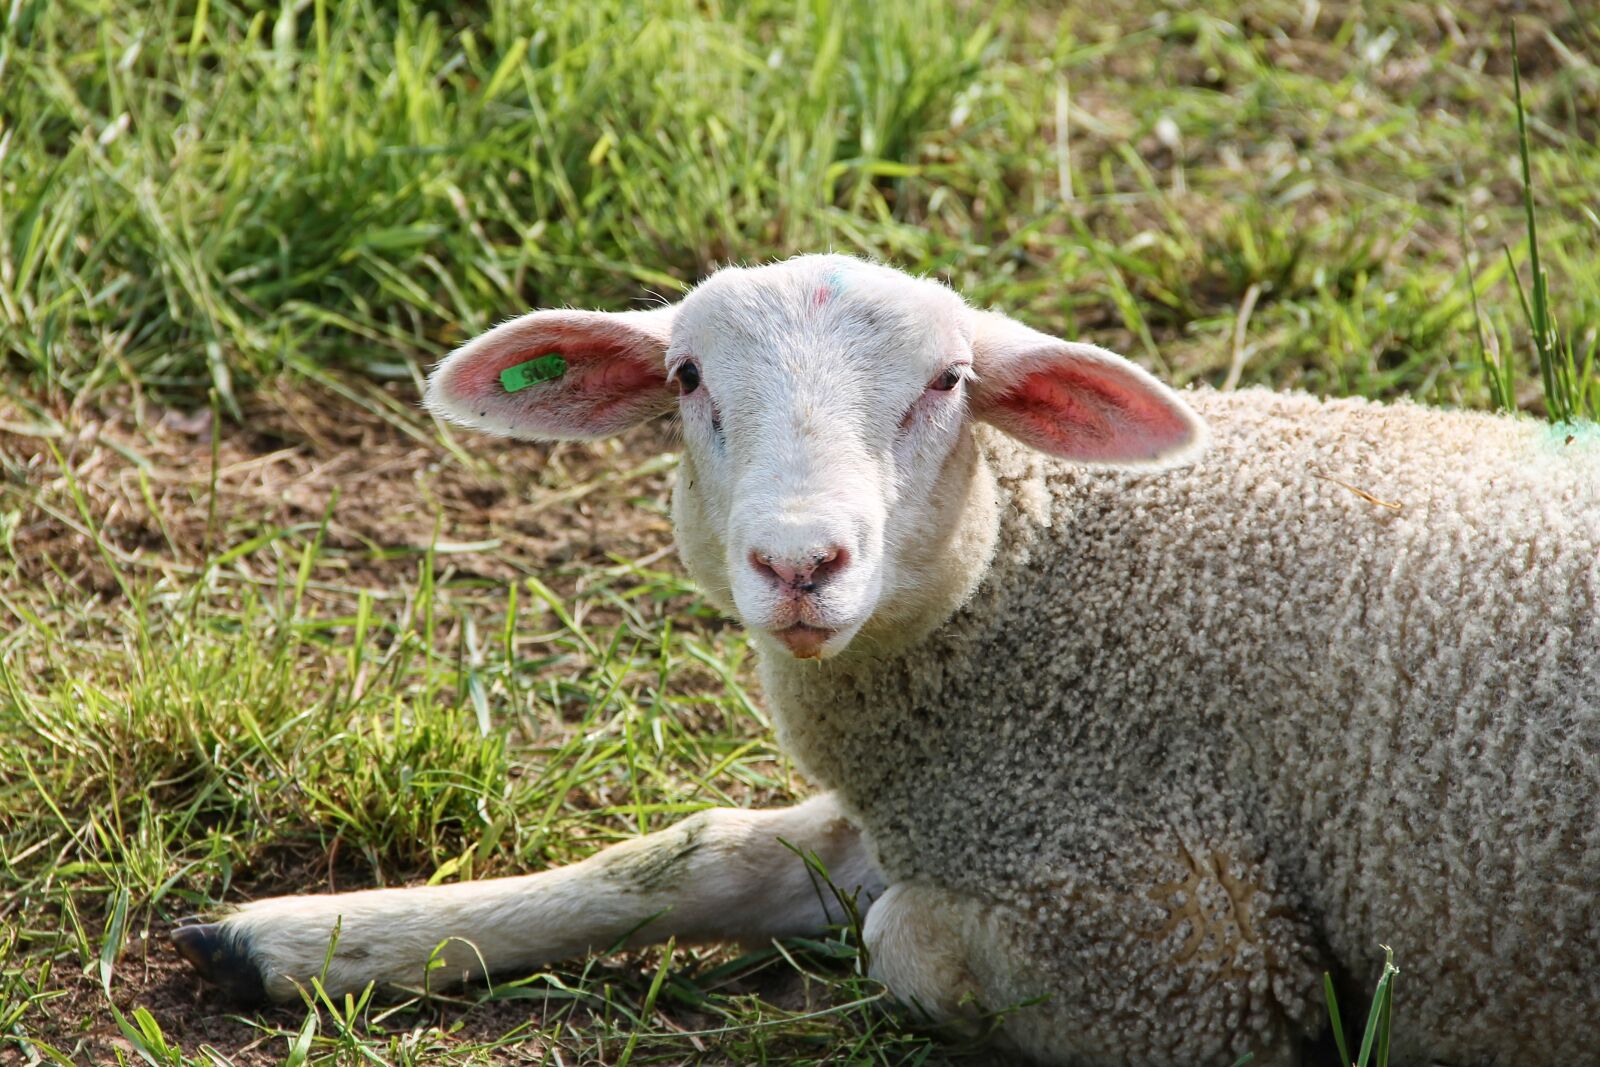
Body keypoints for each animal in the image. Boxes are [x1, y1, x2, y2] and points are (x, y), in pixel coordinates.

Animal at [172, 254, 1600, 1067]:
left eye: (948, 383)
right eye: (686, 376)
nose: (800, 562)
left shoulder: (1178, 948)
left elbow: (894, 936)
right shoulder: (954, 800)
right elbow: (701, 851)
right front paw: (309, 935)